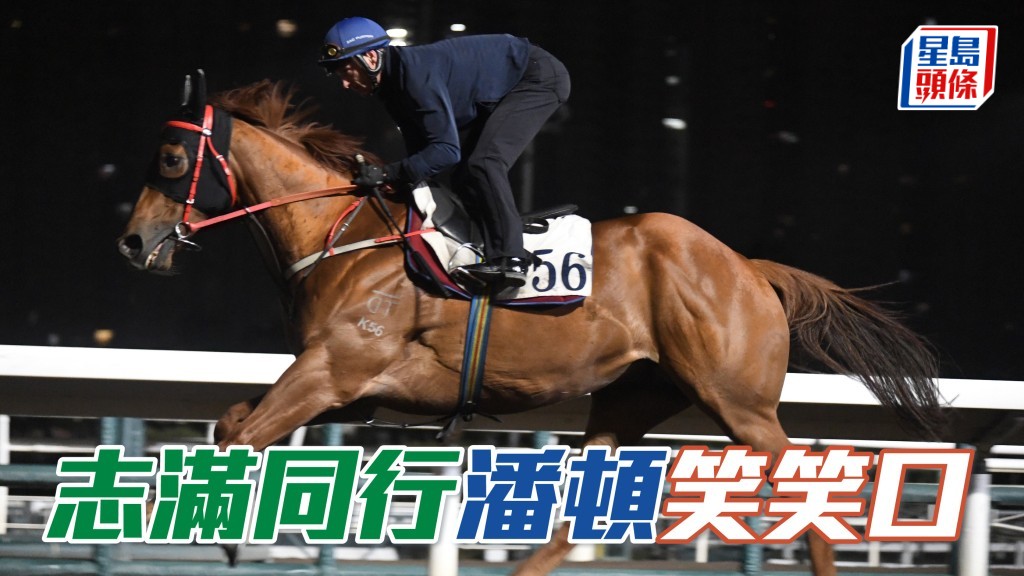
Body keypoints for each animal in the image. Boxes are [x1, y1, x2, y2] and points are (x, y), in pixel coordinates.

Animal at [117, 75, 945, 576]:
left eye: (171, 158)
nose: (131, 242)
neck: (344, 237)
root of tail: (747, 265)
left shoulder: (334, 370)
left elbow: (236, 436)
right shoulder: (350, 387)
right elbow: (232, 423)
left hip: (738, 403)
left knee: (813, 499)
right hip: (631, 398)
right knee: (577, 516)